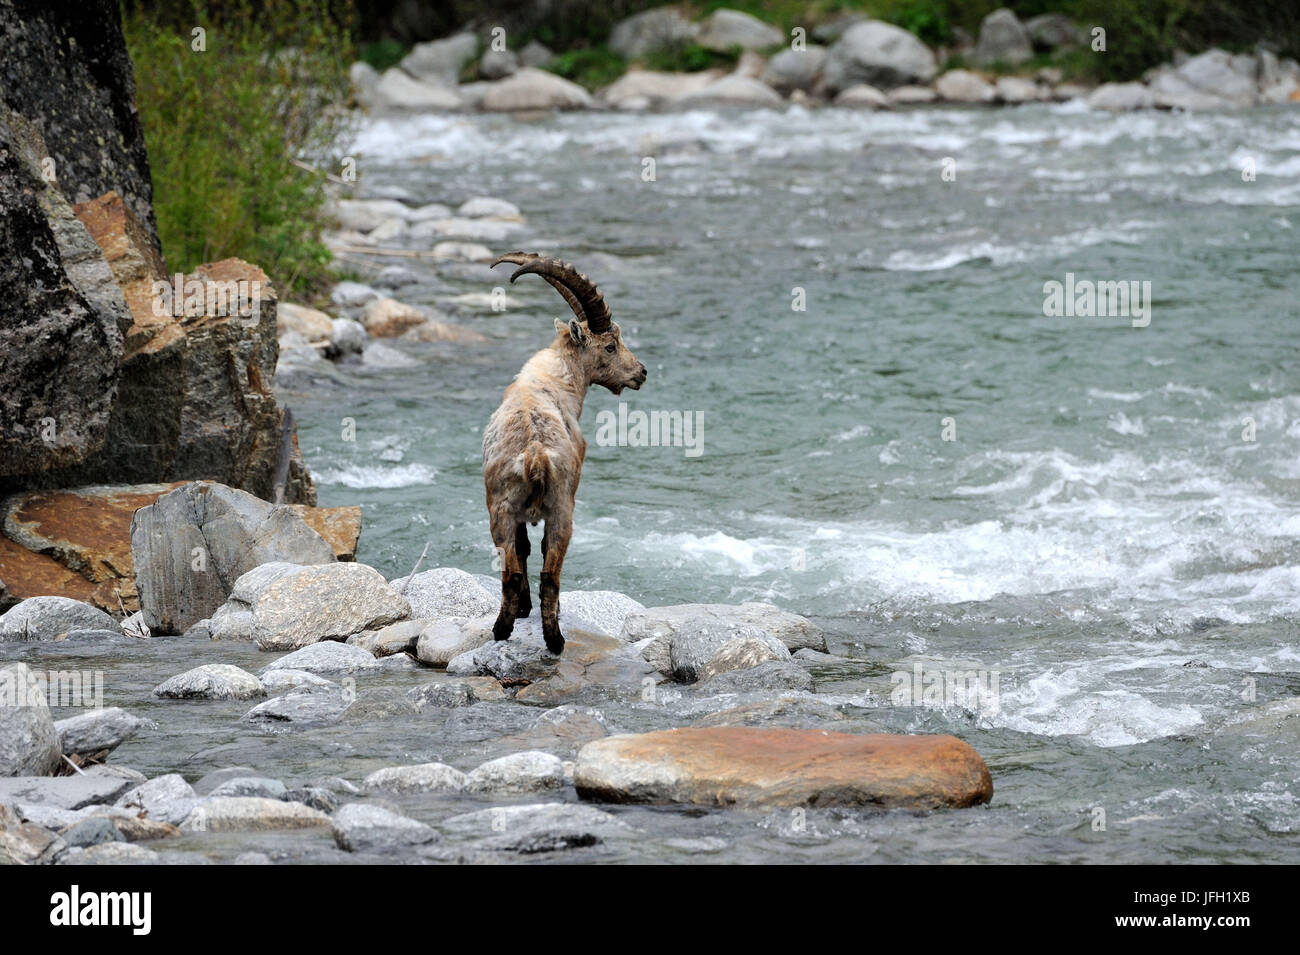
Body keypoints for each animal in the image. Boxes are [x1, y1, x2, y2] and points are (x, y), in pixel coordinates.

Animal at [482, 252, 647, 654]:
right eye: (610, 345)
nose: (641, 373)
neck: (552, 380)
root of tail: (535, 455)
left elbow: (524, 548)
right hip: (562, 508)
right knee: (549, 573)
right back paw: (554, 641)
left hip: (502, 509)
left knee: (514, 571)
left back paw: (504, 630)